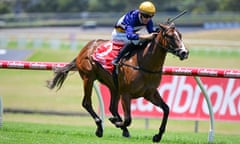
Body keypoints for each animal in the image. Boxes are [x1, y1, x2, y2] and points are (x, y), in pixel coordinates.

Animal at [47, 22, 188, 143]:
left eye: (180, 35)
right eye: (170, 36)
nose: (184, 52)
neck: (144, 63)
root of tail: (86, 47)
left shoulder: (150, 93)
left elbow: (166, 109)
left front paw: (157, 136)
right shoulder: (126, 94)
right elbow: (128, 119)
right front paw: (115, 122)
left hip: (113, 86)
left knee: (112, 107)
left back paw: (121, 128)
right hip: (88, 78)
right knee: (87, 103)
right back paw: (100, 127)